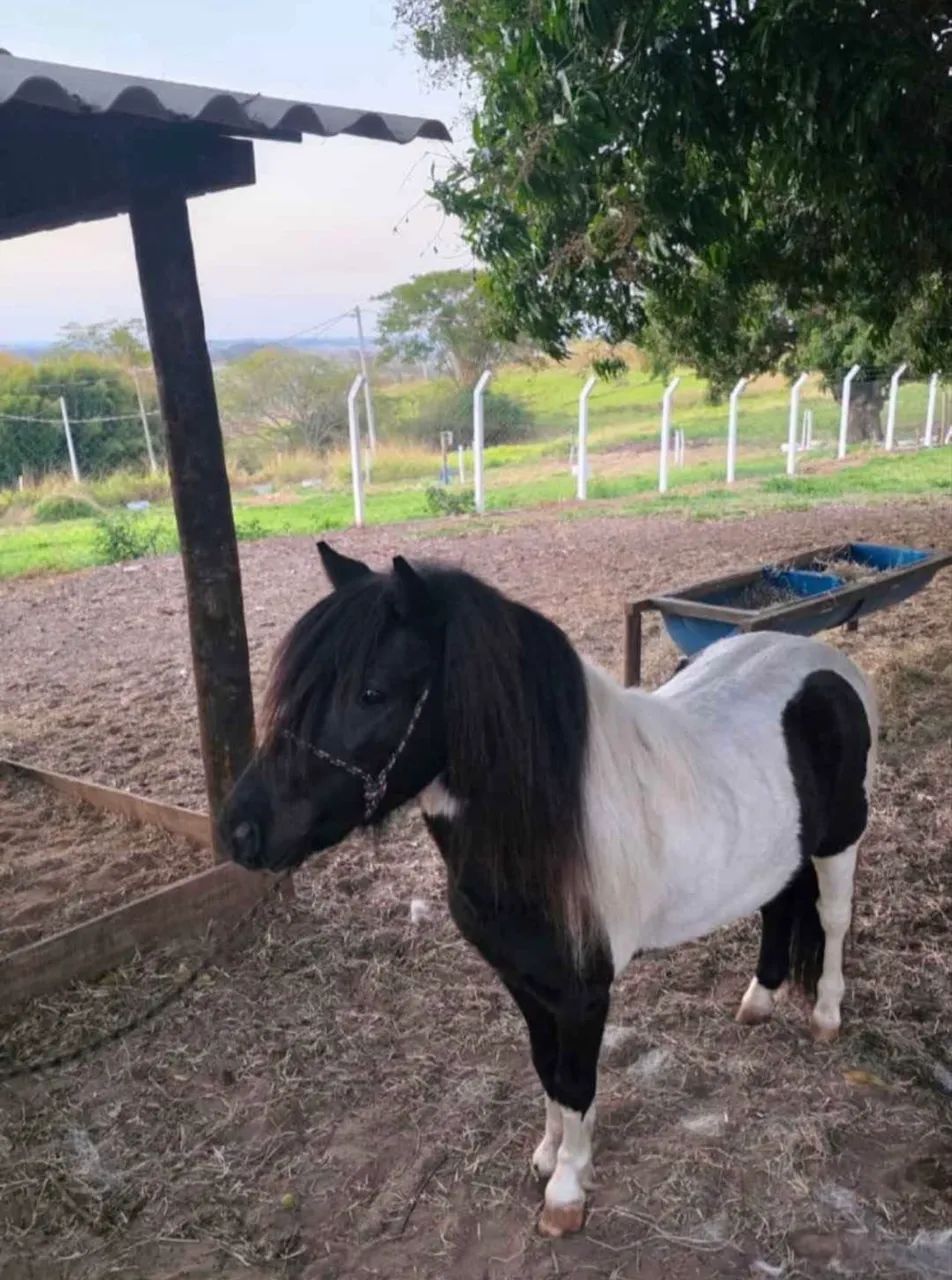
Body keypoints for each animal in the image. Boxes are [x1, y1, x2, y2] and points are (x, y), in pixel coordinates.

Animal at [222, 542, 877, 1238]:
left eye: (372, 693)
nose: (240, 830)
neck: (548, 830)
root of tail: (829, 668)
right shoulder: (523, 978)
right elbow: (547, 1070)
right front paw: (547, 1153)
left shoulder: (584, 992)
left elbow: (577, 1079)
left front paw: (566, 1191)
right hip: (779, 853)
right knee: (779, 907)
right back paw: (759, 1000)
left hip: (841, 840)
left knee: (833, 919)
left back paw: (825, 1016)